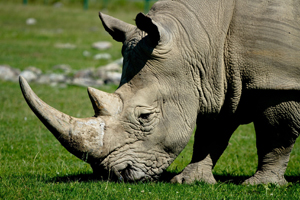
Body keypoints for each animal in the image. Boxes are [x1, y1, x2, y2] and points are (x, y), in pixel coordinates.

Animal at [19, 0, 300, 185]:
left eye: (145, 116)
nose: (113, 175)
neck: (199, 40)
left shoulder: (279, 83)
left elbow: (276, 135)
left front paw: (262, 185)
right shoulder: (216, 82)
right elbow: (210, 134)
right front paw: (190, 181)